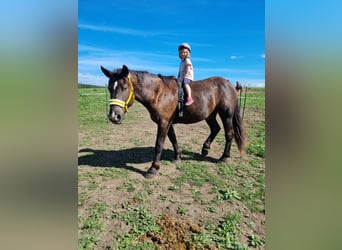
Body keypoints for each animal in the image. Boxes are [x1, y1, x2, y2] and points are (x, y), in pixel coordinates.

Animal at [99, 64, 246, 178]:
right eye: (110, 88)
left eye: (124, 87)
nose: (114, 116)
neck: (159, 93)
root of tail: (229, 84)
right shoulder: (167, 123)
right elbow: (173, 138)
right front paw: (177, 156)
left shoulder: (163, 123)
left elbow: (159, 144)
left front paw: (153, 168)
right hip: (210, 115)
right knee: (215, 129)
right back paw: (205, 149)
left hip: (226, 115)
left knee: (229, 134)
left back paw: (224, 157)